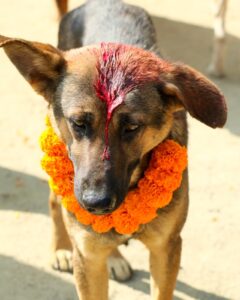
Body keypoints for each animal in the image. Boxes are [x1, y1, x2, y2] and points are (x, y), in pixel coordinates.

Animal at [0, 0, 227, 300]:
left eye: (131, 127)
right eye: (78, 123)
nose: (95, 203)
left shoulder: (166, 248)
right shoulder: (88, 259)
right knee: (55, 202)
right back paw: (62, 249)